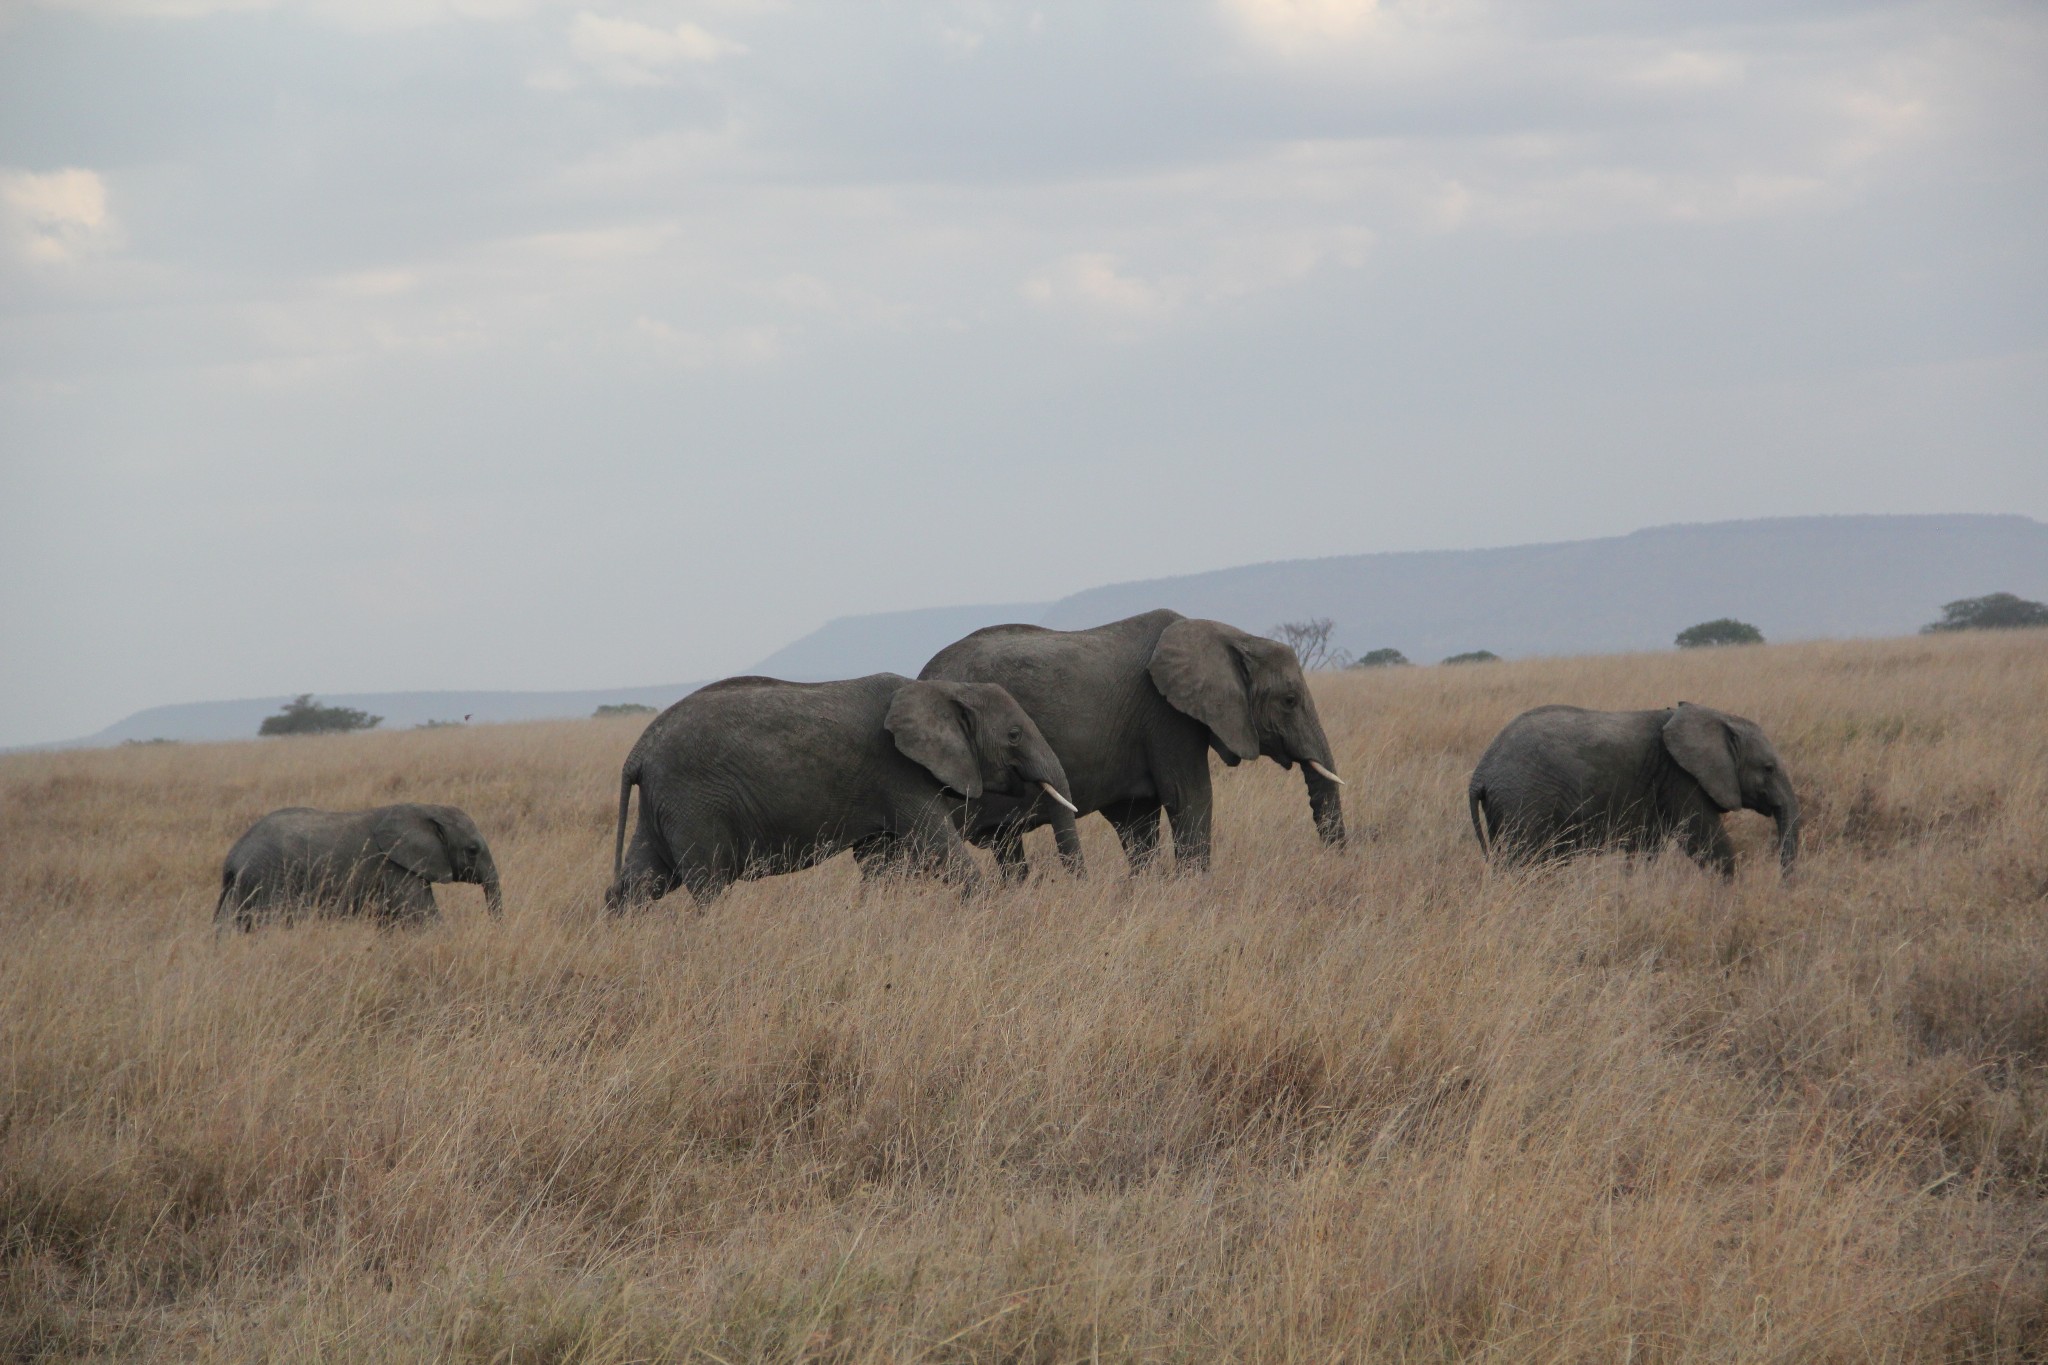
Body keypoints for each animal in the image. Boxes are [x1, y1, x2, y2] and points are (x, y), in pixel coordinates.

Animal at [215, 802, 503, 929]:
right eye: (473, 850)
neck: (425, 808)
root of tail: (233, 856)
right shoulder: (395, 867)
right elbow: (423, 917)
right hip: (269, 878)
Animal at [606, 671, 1081, 908]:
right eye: (1015, 735)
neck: (945, 689)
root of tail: (637, 751)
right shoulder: (898, 772)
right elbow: (939, 849)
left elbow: (880, 863)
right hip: (694, 804)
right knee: (707, 885)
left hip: (664, 803)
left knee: (642, 882)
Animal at [917, 609, 1343, 875]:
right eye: (1290, 701)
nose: (1334, 862)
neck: (1230, 636)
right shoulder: (1166, 716)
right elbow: (1190, 798)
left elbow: (1138, 821)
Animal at [1466, 703, 1802, 875]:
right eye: (1768, 769)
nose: (1782, 886)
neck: (1716, 717)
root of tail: (1480, 771)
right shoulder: (1681, 778)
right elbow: (1707, 843)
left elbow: (1646, 852)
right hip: (1522, 800)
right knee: (1527, 863)